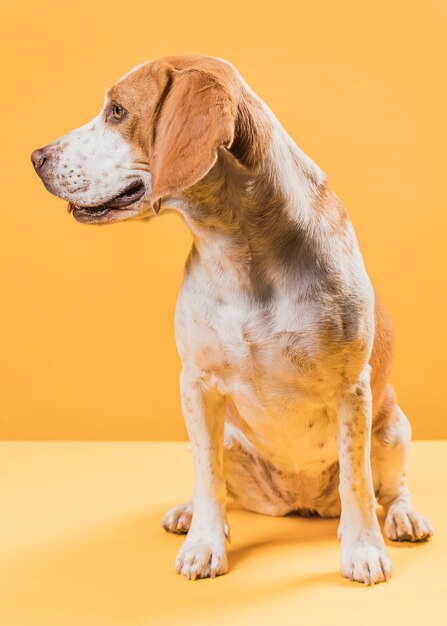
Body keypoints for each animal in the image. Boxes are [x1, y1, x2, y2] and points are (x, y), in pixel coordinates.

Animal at [30, 56, 434, 584]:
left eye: (117, 110)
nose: (35, 156)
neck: (240, 251)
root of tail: (298, 501)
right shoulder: (197, 385)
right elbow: (208, 478)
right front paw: (204, 542)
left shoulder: (353, 391)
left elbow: (357, 481)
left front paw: (363, 549)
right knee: (221, 486)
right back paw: (189, 512)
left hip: (391, 426)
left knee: (390, 488)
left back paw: (403, 517)